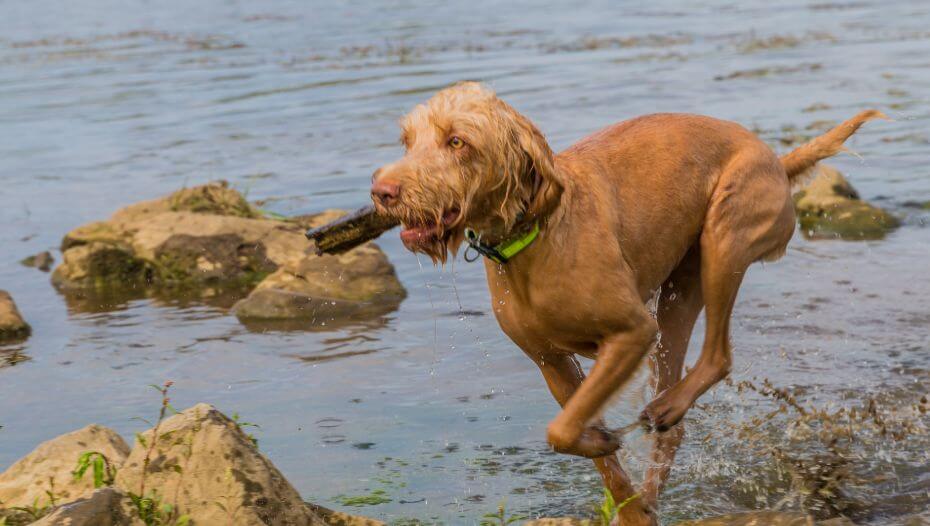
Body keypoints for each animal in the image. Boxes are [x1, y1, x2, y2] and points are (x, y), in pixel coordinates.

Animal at [368, 81, 876, 524]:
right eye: (407, 141)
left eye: (457, 141)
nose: (381, 192)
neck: (531, 239)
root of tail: (775, 155)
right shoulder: (550, 361)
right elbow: (576, 437)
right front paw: (623, 491)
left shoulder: (632, 333)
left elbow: (560, 430)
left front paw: (603, 443)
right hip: (679, 294)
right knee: (678, 415)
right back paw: (659, 457)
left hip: (724, 237)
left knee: (718, 356)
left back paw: (667, 408)